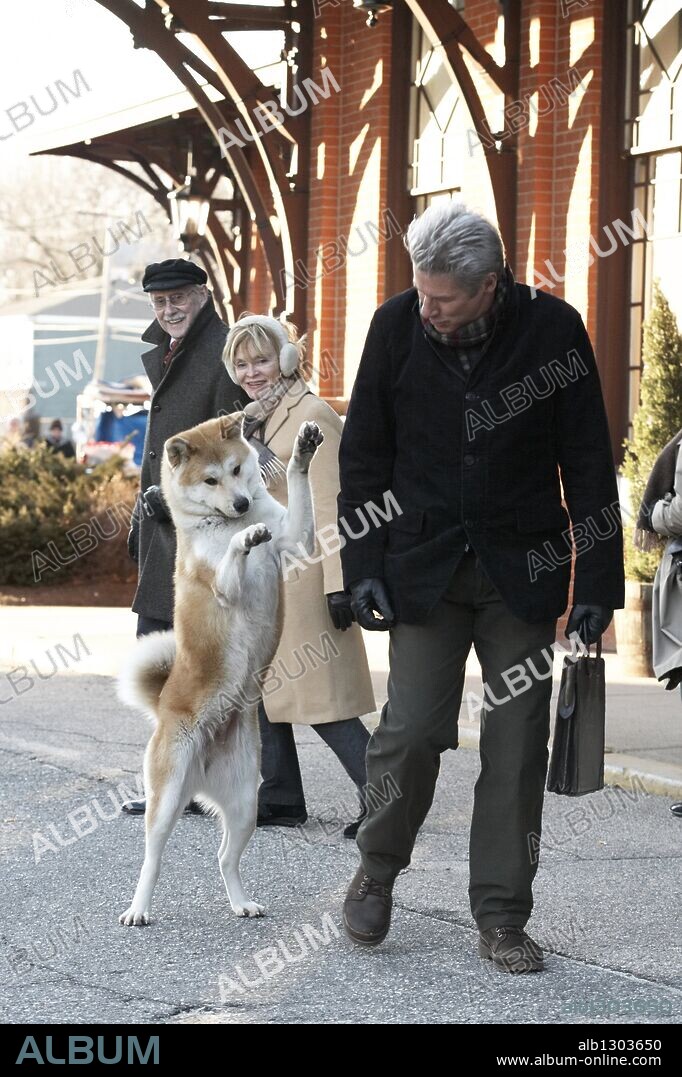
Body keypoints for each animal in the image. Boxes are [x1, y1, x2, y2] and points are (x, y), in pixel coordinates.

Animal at [116, 411, 321, 926]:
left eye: (235, 469)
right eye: (210, 480)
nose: (242, 503)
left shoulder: (295, 537)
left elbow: (296, 490)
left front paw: (304, 450)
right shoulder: (220, 580)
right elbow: (231, 555)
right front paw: (242, 539)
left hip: (245, 801)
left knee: (225, 857)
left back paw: (241, 902)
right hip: (167, 798)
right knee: (152, 858)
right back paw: (138, 908)